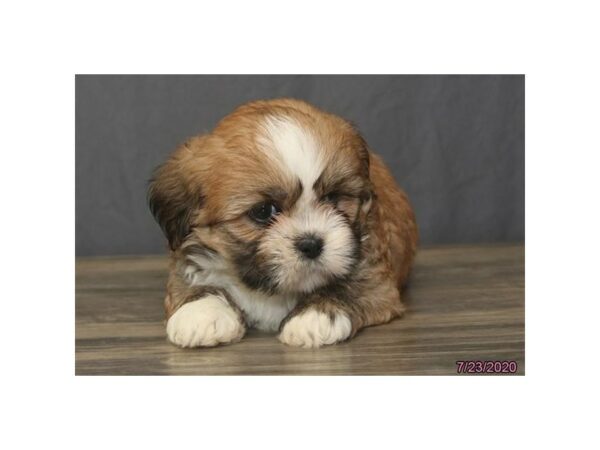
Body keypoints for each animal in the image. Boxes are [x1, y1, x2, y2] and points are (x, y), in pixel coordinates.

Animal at [148, 98, 418, 350]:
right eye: (263, 211)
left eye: (332, 198)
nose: (311, 244)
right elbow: (191, 279)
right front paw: (201, 313)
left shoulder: (376, 275)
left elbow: (353, 287)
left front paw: (315, 315)